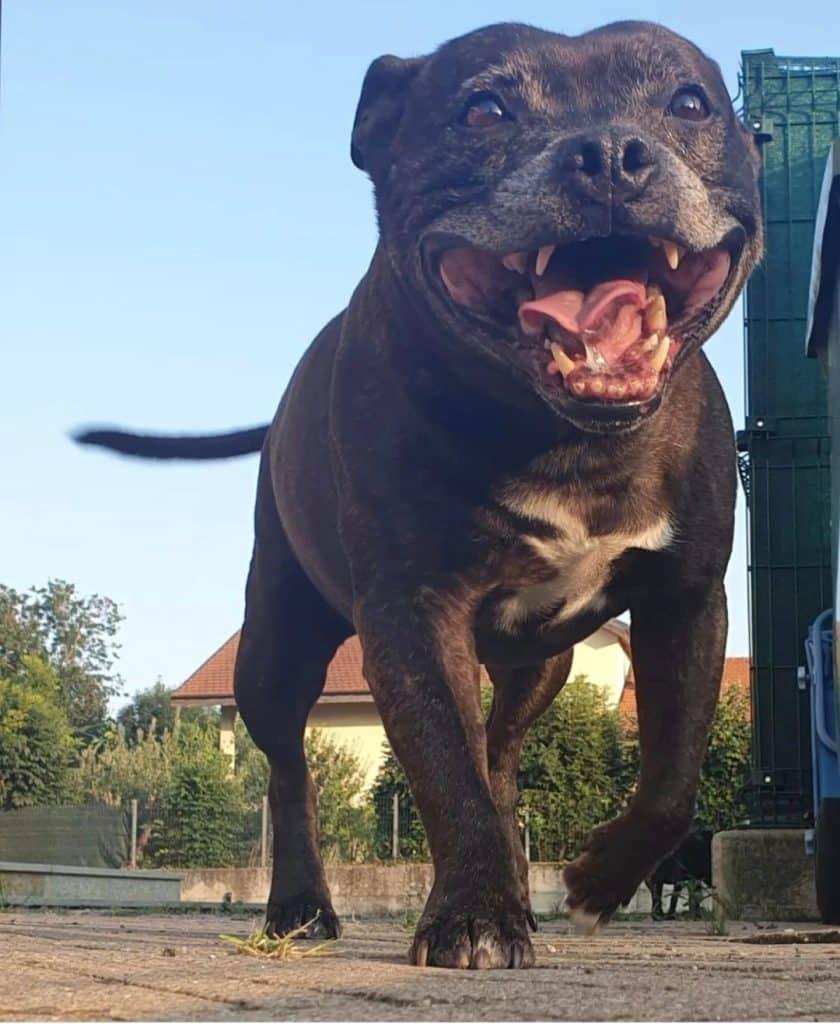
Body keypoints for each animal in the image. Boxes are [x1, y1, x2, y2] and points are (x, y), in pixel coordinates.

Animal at [76, 21, 762, 969]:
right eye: (484, 108)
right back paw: (300, 904)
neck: (562, 441)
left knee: (501, 756)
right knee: (294, 774)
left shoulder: (686, 601)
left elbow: (672, 778)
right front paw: (473, 915)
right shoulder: (410, 611)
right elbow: (443, 765)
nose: (610, 155)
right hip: (274, 649)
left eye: (690, 101)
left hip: (539, 666)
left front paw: (590, 884)